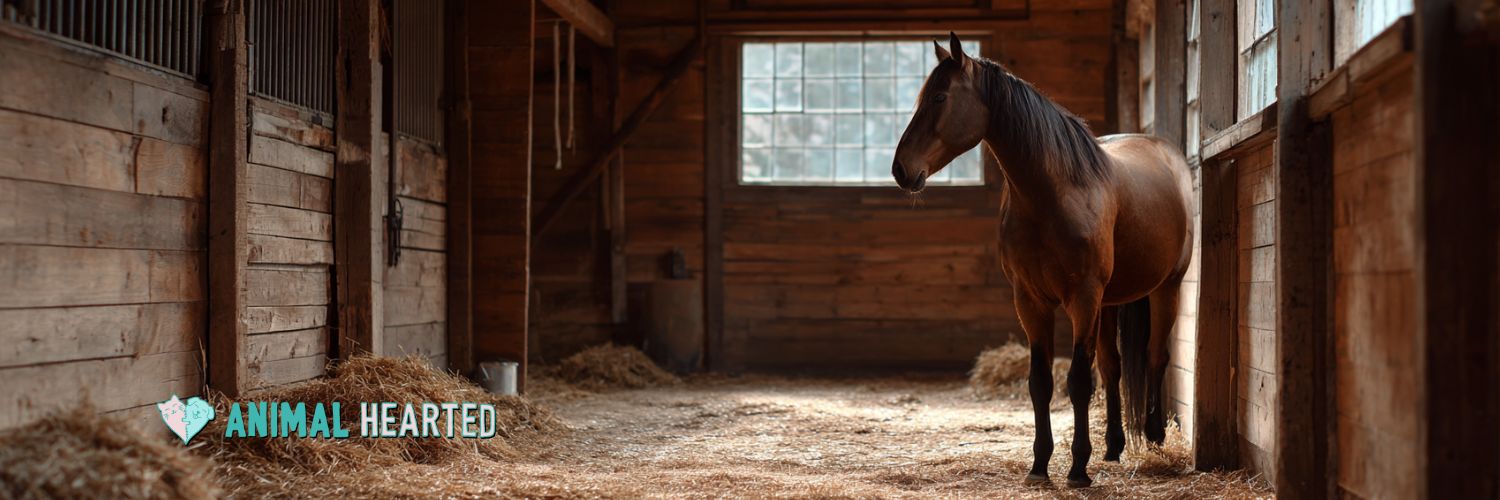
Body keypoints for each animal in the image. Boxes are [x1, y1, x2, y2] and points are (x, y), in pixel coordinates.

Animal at [892, 33, 1194, 487]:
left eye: (940, 96)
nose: (901, 169)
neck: (1054, 194)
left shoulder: (1082, 299)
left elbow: (1078, 381)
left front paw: (1078, 468)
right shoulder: (1030, 301)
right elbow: (1041, 382)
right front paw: (1039, 464)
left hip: (1165, 289)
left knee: (1155, 357)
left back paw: (1155, 439)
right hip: (1110, 302)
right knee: (1113, 366)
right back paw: (1114, 446)